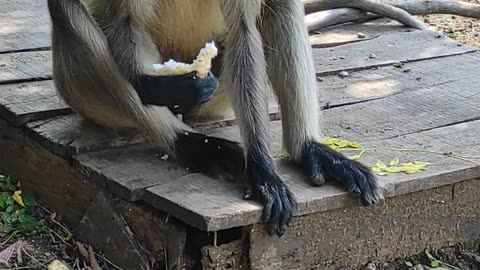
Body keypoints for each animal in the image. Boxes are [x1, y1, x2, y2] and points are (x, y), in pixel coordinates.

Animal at [46, 0, 382, 236]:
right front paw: (164, 88)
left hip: (219, 95)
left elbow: (242, 28)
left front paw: (262, 171)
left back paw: (306, 148)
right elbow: (126, 22)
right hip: (83, 96)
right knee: (63, 5)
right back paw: (190, 143)